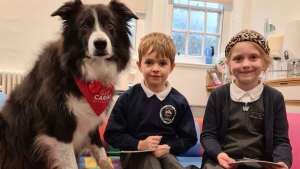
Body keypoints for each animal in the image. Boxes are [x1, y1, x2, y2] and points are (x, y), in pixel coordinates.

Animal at [0, 0, 138, 168]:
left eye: (110, 24)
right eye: (84, 26)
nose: (100, 44)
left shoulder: (91, 124)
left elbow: (102, 155)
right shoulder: (58, 128)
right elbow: (70, 163)